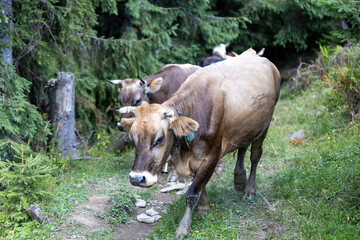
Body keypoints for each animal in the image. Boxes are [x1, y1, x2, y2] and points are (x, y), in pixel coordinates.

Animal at [119, 49, 282, 238]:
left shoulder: (212, 156)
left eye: (159, 139)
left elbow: (193, 191)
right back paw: (239, 179)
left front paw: (183, 227)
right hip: (245, 125)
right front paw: (204, 206)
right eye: (133, 138)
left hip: (265, 124)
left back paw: (249, 190)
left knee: (255, 156)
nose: (136, 179)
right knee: (242, 147)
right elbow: (199, 183)